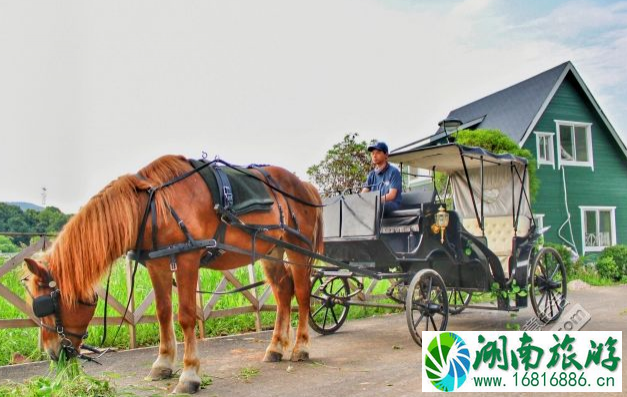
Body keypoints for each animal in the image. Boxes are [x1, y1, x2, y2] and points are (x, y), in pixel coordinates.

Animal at [23, 155, 324, 392]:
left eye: (47, 304)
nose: (52, 353)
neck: (153, 206)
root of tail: (305, 186)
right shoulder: (157, 265)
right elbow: (163, 312)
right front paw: (163, 363)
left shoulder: (188, 259)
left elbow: (187, 316)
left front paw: (189, 375)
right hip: (272, 250)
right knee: (283, 292)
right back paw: (276, 347)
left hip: (298, 249)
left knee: (302, 294)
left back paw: (300, 347)